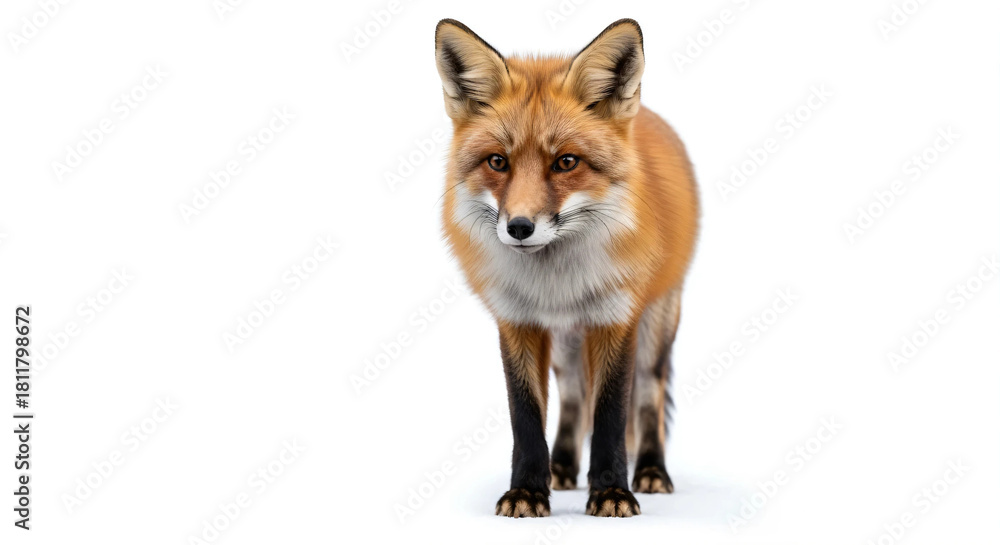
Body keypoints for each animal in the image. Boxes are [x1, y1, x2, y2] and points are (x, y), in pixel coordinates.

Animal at [434, 18, 699, 517]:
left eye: (566, 162)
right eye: (498, 161)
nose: (519, 227)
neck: (556, 284)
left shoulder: (615, 318)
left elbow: (612, 415)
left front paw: (612, 492)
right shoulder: (518, 321)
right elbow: (526, 416)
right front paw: (527, 492)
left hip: (655, 330)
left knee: (649, 399)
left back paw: (652, 470)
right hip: (566, 346)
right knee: (574, 397)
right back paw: (561, 468)